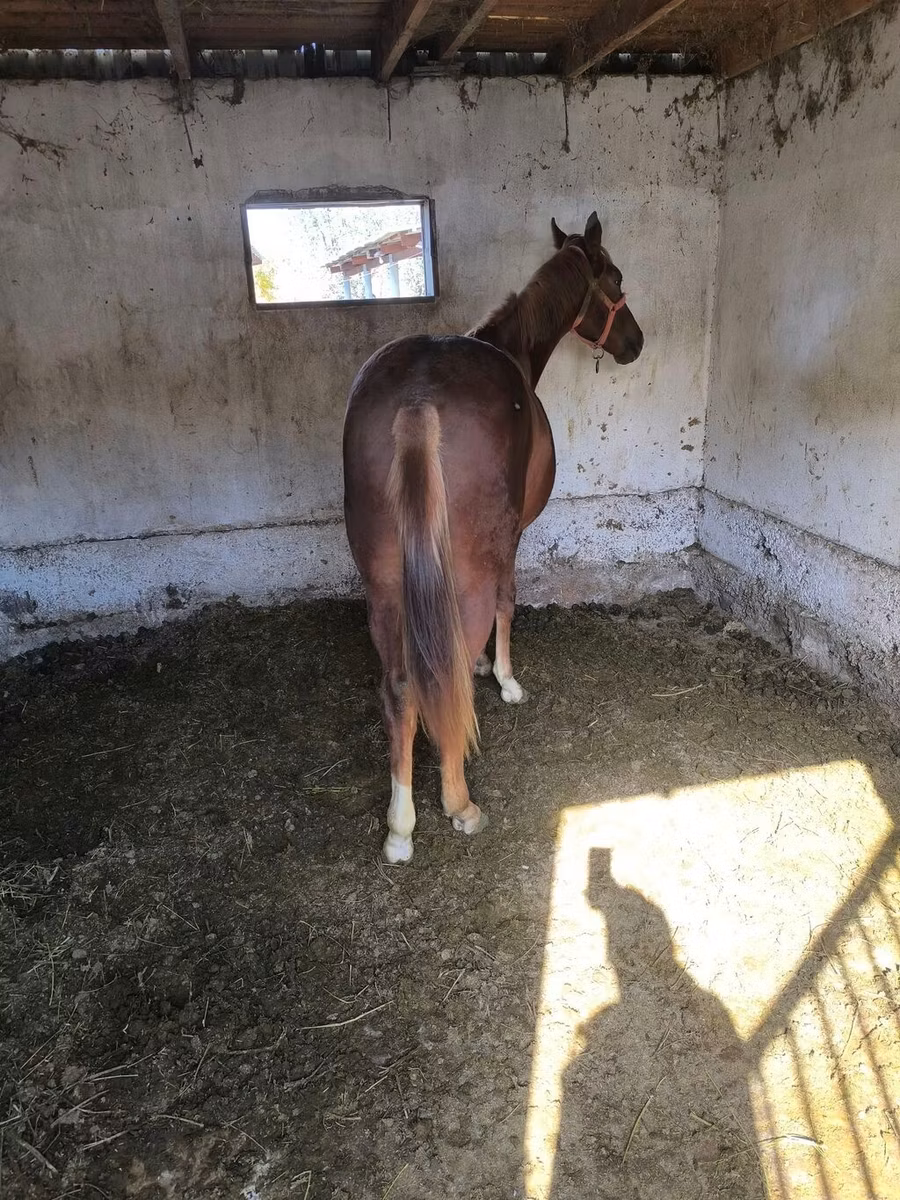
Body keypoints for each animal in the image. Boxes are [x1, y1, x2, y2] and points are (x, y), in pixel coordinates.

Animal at [342, 212, 644, 863]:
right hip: (468, 575)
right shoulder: (514, 539)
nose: (635, 343)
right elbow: (509, 604)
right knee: (446, 672)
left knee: (400, 687)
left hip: (383, 587)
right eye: (615, 276)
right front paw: (504, 677)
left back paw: (399, 828)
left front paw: (488, 666)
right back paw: (460, 804)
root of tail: (418, 401)